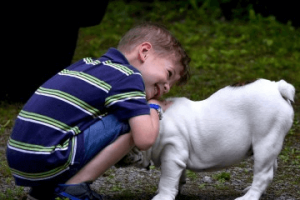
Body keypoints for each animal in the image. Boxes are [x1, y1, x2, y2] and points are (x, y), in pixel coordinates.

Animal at [135, 79, 294, 199]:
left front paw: (162, 196)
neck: (155, 121)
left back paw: (249, 197)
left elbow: (167, 179)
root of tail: (277, 87)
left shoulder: (172, 154)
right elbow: (178, 176)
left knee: (263, 174)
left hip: (265, 141)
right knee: (271, 168)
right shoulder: (178, 157)